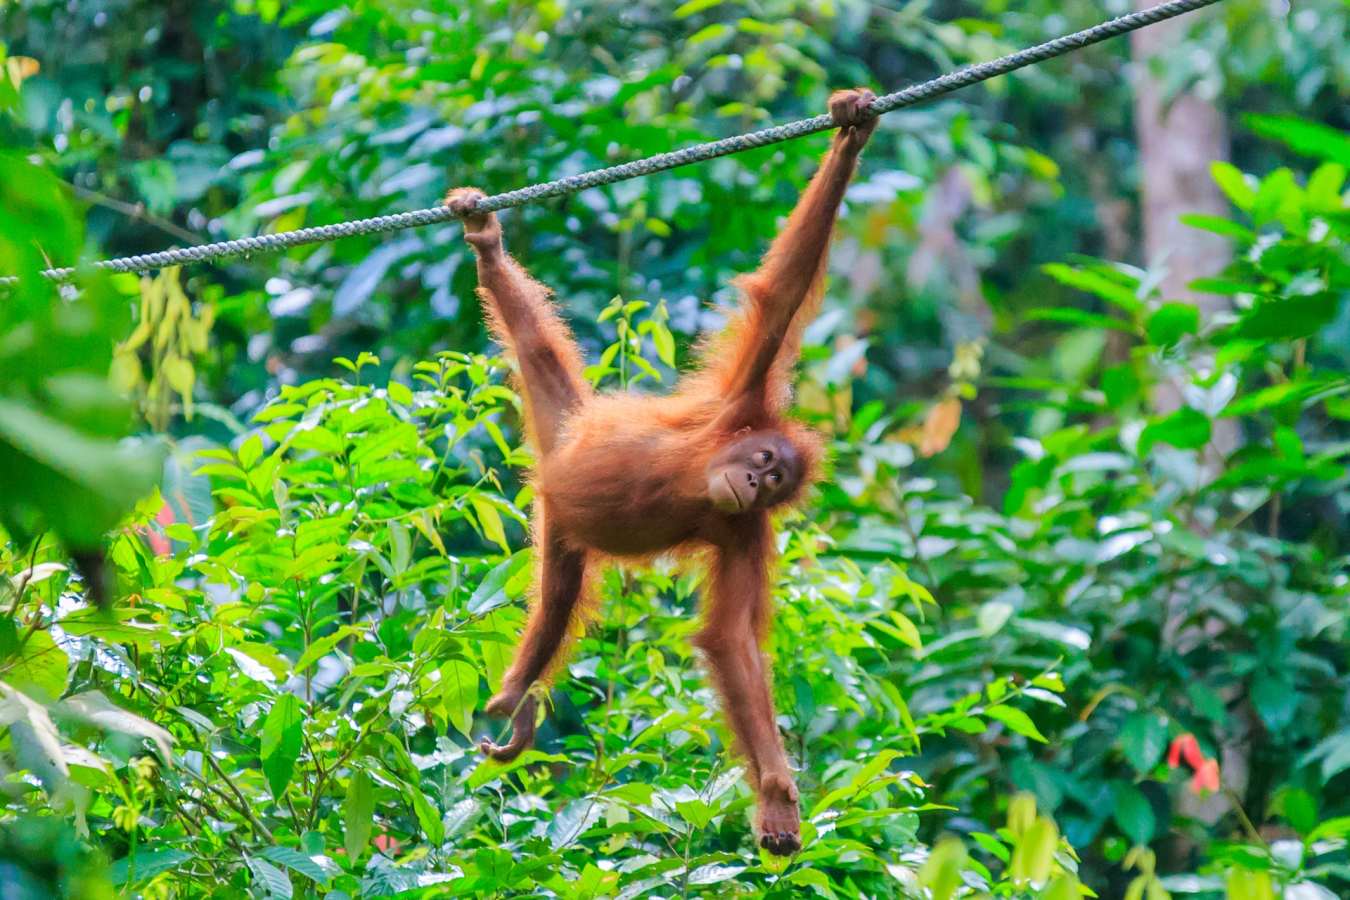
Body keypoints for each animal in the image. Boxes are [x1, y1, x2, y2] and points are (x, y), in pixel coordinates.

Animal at [445, 87, 877, 856]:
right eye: (764, 462)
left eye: (774, 485)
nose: (753, 484)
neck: (705, 467)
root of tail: (566, 442)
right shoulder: (743, 399)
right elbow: (781, 292)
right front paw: (850, 130)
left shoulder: (745, 534)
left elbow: (731, 640)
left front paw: (775, 797)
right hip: (567, 434)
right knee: (532, 339)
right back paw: (487, 242)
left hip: (558, 519)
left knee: (558, 600)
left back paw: (520, 701)